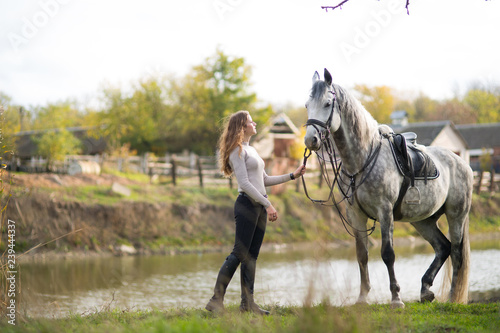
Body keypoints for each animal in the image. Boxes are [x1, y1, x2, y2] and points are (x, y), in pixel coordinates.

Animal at [304, 68, 472, 308]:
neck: (363, 158)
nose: (311, 140)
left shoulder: (385, 212)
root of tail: (461, 162)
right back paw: (425, 290)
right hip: (423, 220)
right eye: (307, 105)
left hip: (456, 215)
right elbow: (362, 254)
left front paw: (396, 298)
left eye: (327, 103)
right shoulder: (356, 215)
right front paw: (362, 297)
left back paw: (451, 299)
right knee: (443, 247)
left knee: (457, 254)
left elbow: (388, 254)